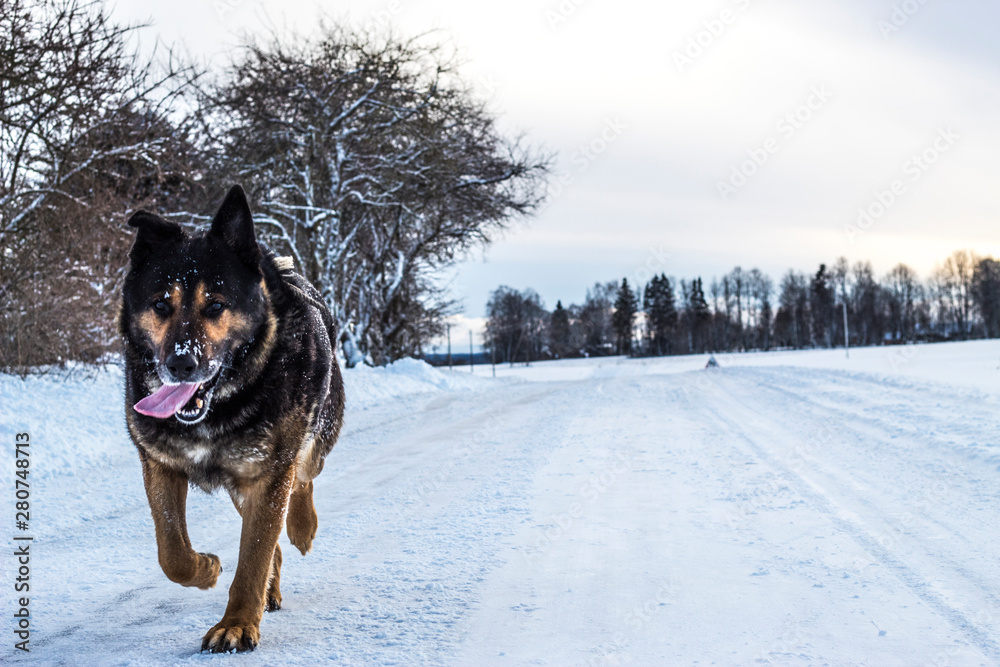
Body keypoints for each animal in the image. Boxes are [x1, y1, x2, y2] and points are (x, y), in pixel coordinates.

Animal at [118, 184, 340, 652]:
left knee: (304, 478)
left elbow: (253, 555)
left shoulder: (269, 473)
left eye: (216, 305)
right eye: (160, 304)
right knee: (270, 541)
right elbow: (172, 553)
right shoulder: (160, 464)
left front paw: (236, 624)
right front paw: (206, 568)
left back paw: (303, 526)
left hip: (309, 442)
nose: (181, 364)